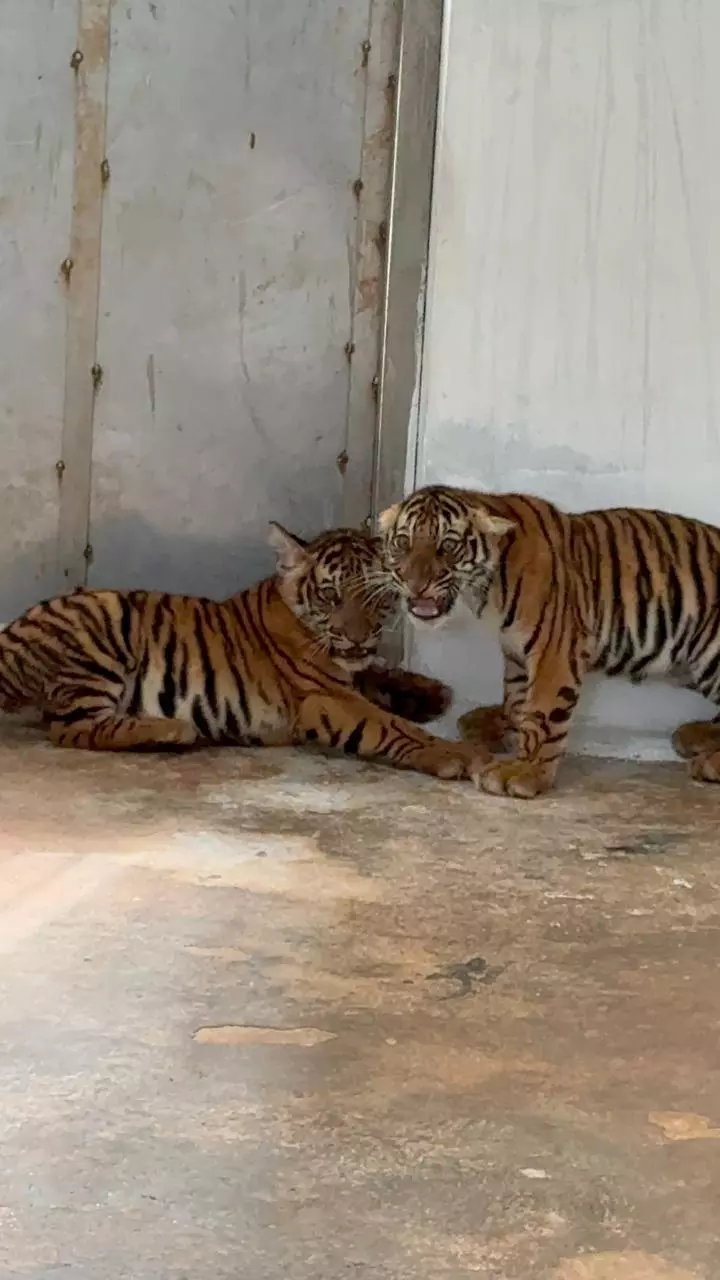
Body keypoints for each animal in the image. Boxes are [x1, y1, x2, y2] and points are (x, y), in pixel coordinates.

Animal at [0, 520, 482, 781]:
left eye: (378, 599)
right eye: (330, 595)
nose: (360, 639)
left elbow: (379, 678)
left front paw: (430, 693)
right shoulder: (324, 698)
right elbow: (393, 726)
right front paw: (457, 755)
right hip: (101, 627)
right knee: (72, 728)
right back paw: (170, 730)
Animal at [379, 484, 720, 797]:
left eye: (448, 545)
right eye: (403, 542)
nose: (415, 584)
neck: (487, 585)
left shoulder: (554, 649)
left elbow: (542, 710)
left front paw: (523, 772)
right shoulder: (515, 651)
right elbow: (516, 699)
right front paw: (507, 731)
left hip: (706, 653)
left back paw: (709, 760)